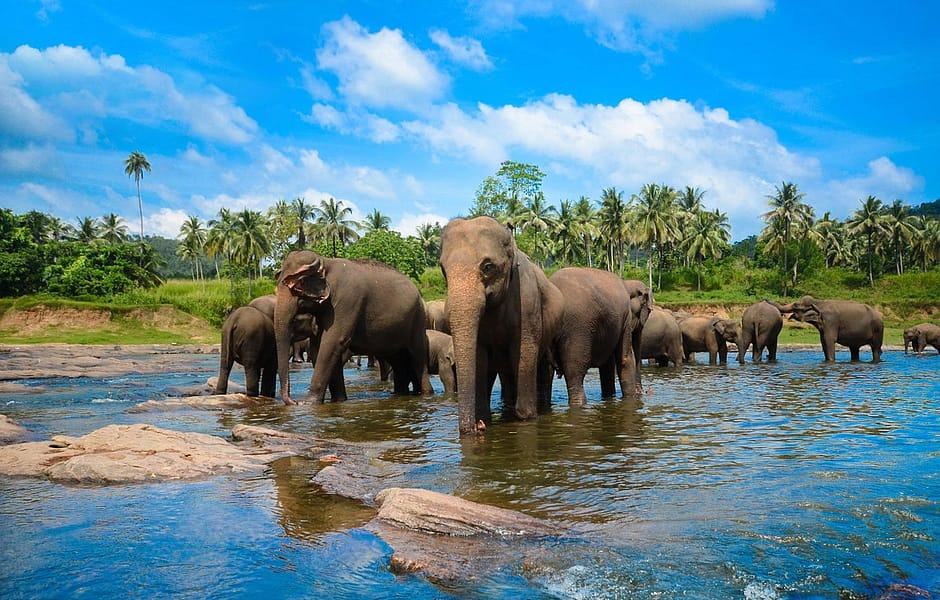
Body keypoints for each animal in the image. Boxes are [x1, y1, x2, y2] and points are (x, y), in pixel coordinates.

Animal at [273, 250, 432, 405]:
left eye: (298, 286)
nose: (294, 402)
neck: (325, 262)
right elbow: (319, 347)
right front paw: (338, 400)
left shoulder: (347, 300)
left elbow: (333, 342)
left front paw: (309, 403)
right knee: (398, 361)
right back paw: (400, 393)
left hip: (418, 321)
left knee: (417, 358)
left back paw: (426, 394)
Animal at [439, 216, 564, 435]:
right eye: (443, 270)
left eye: (488, 266)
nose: (478, 427)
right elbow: (479, 359)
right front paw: (484, 418)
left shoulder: (527, 303)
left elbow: (524, 354)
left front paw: (526, 418)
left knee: (541, 368)